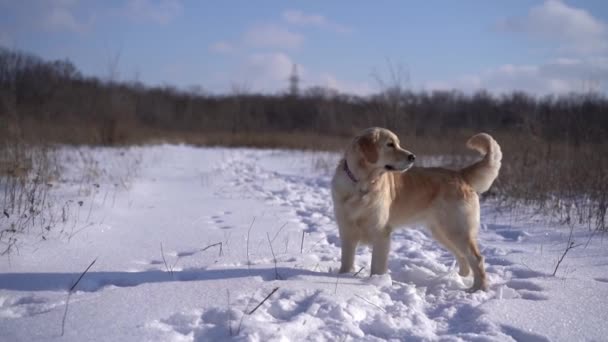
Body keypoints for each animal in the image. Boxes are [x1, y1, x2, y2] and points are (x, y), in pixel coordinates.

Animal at [330, 127, 502, 292]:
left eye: (398, 143)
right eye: (390, 144)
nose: (412, 157)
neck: (362, 184)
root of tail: (460, 173)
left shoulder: (381, 233)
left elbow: (377, 266)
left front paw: (375, 282)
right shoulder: (346, 231)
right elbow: (346, 261)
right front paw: (344, 276)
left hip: (457, 230)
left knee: (477, 258)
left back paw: (478, 289)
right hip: (442, 232)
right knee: (463, 257)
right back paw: (459, 279)